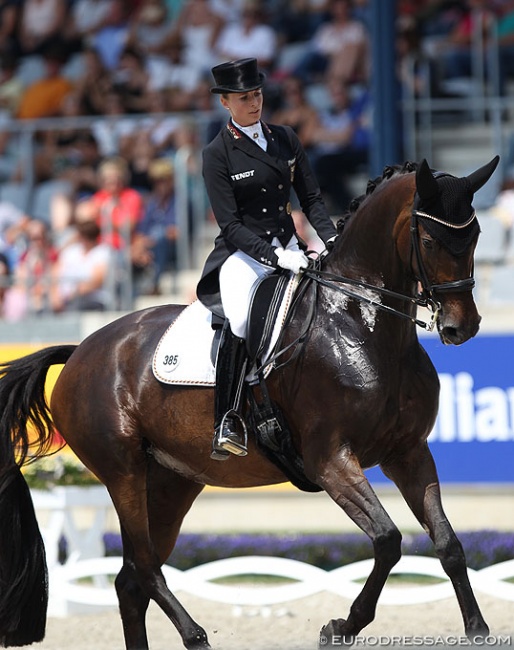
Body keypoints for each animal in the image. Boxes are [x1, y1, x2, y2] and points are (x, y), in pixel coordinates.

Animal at [0, 154, 498, 644]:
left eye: (475, 234)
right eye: (430, 239)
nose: (462, 326)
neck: (361, 322)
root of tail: (81, 350)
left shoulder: (409, 452)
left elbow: (448, 543)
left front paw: (476, 628)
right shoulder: (330, 460)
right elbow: (388, 540)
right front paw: (341, 626)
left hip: (172, 481)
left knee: (131, 580)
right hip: (123, 473)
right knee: (144, 569)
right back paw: (197, 635)